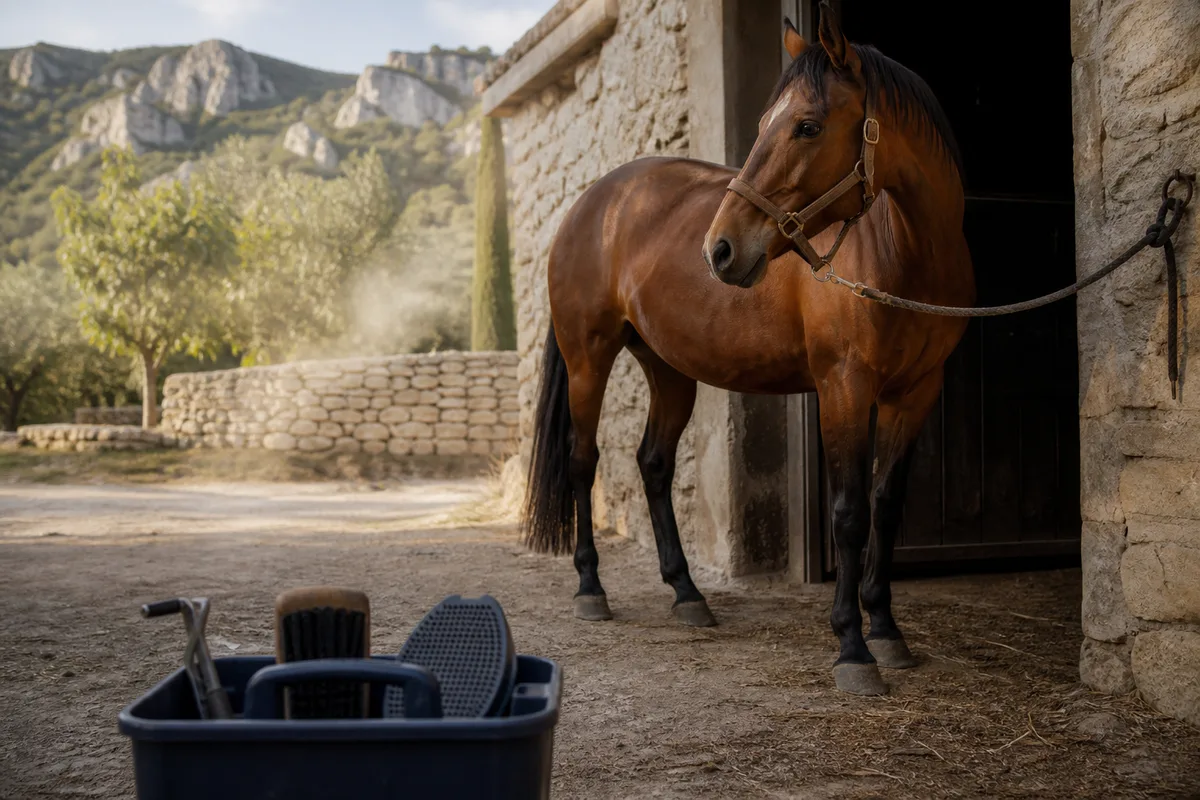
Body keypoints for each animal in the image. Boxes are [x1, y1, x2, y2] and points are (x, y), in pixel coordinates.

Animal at [521, 2, 974, 695]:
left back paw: (687, 594)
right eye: (764, 125)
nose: (721, 250)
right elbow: (848, 513)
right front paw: (852, 647)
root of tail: (591, 204)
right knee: (582, 461)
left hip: (669, 370)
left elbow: (885, 505)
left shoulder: (915, 394)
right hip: (587, 359)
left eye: (808, 126)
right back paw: (591, 589)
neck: (904, 253)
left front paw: (886, 629)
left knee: (653, 463)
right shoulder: (845, 387)